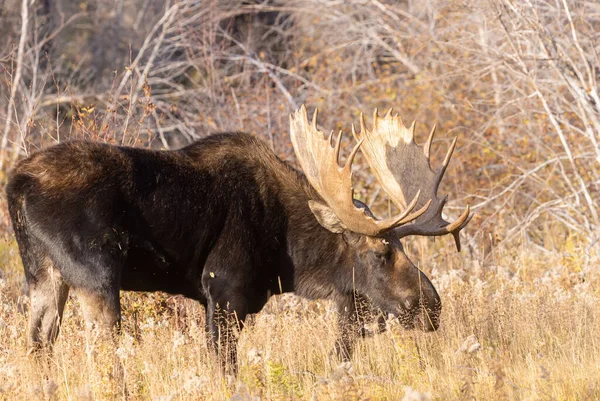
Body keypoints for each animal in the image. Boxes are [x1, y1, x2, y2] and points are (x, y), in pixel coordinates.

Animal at [7, 104, 472, 370]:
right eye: (380, 252)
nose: (432, 306)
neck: (288, 257)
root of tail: (17, 183)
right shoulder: (225, 292)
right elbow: (225, 370)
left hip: (44, 275)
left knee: (38, 346)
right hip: (95, 275)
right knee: (102, 351)